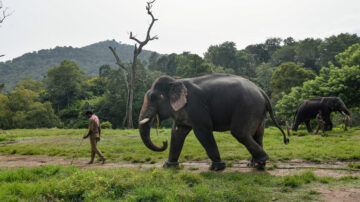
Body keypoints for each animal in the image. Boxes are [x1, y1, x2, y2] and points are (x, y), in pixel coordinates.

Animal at [136, 74, 288, 170]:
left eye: (154, 98)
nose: (163, 142)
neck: (176, 80)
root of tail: (262, 92)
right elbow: (177, 133)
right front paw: (168, 166)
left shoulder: (196, 106)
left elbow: (202, 131)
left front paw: (216, 168)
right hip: (258, 112)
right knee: (257, 135)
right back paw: (256, 164)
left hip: (248, 107)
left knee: (240, 133)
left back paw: (261, 160)